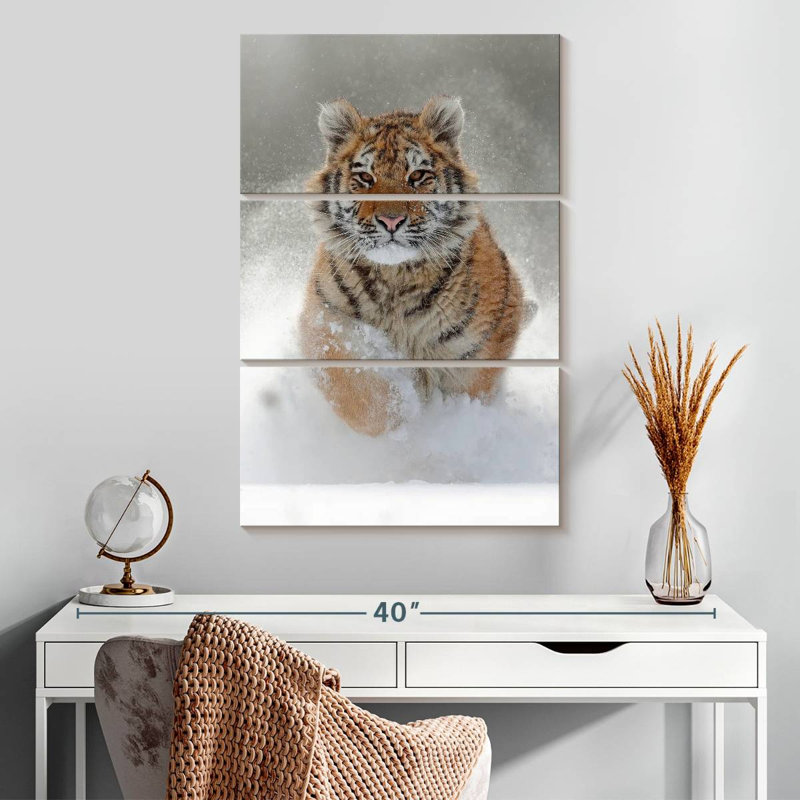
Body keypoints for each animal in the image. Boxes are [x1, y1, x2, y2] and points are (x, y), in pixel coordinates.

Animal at [299, 95, 524, 436]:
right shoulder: (325, 321)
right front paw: (402, 416)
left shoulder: (479, 347)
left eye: (416, 176)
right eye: (365, 178)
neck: (396, 279)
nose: (391, 220)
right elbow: (362, 395)